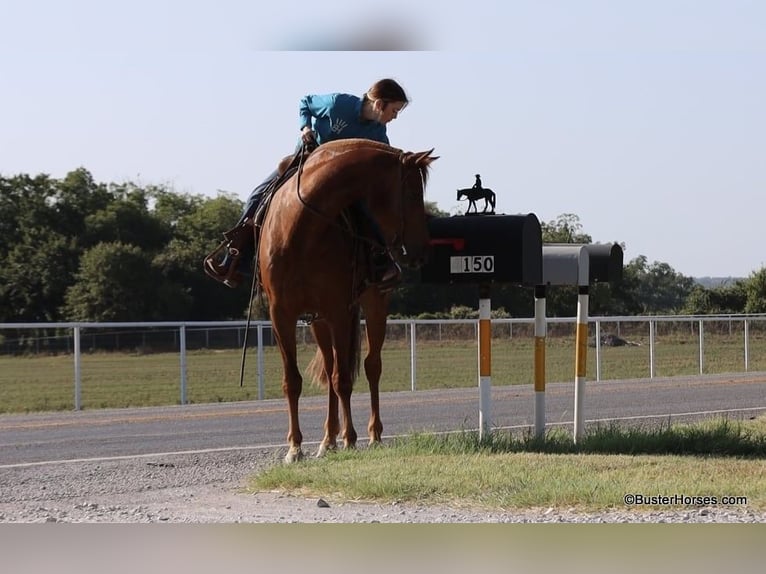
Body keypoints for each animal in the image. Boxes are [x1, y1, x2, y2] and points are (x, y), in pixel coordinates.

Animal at [258, 138, 438, 464]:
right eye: (413, 193)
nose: (422, 251)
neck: (301, 228)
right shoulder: (282, 315)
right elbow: (294, 380)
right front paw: (295, 447)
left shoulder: (339, 311)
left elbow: (343, 378)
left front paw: (351, 438)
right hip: (317, 321)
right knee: (329, 369)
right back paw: (327, 439)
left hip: (374, 304)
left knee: (370, 366)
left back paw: (372, 434)